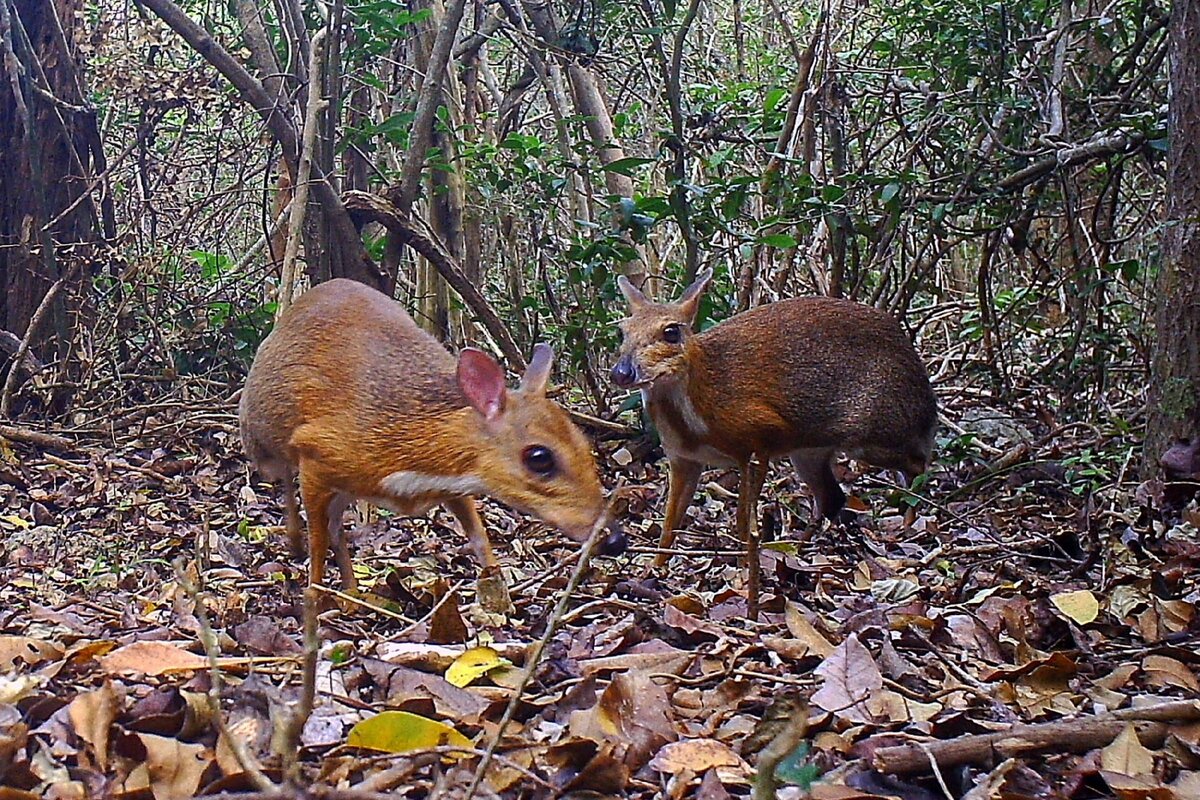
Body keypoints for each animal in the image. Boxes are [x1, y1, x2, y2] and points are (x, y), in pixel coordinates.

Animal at [238, 278, 624, 592]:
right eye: (539, 458)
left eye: (583, 443)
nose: (615, 538)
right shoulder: (315, 451)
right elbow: (317, 545)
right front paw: (316, 602)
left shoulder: (455, 484)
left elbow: (480, 537)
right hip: (260, 439)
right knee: (287, 483)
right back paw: (296, 545)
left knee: (336, 526)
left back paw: (353, 596)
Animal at [609, 268, 936, 594]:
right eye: (622, 331)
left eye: (671, 332)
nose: (621, 372)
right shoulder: (682, 459)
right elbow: (670, 522)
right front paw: (654, 568)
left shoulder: (759, 439)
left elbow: (743, 519)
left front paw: (744, 570)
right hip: (809, 452)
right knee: (832, 497)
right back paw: (798, 550)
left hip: (876, 433)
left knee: (918, 464)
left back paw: (909, 525)